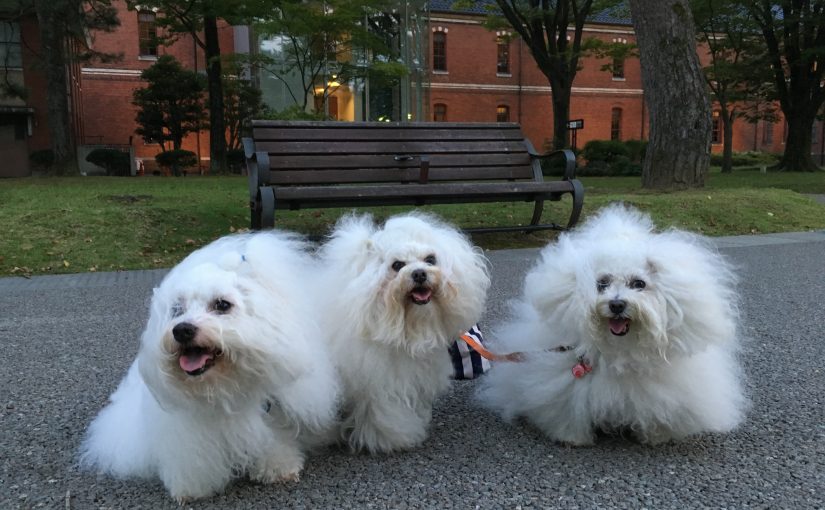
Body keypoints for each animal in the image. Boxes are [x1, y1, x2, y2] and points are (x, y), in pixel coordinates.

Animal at [79, 231, 342, 502]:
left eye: (222, 305)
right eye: (177, 310)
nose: (182, 330)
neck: (226, 385)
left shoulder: (270, 410)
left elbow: (274, 440)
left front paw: (278, 468)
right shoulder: (188, 431)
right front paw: (191, 488)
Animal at [318, 213, 490, 452]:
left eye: (430, 259)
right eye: (397, 265)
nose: (419, 273)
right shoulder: (381, 384)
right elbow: (387, 413)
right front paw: (394, 438)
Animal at [476, 205, 748, 444]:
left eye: (639, 284)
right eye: (602, 284)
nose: (617, 304)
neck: (619, 349)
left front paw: (657, 436)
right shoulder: (568, 385)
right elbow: (570, 410)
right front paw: (572, 438)